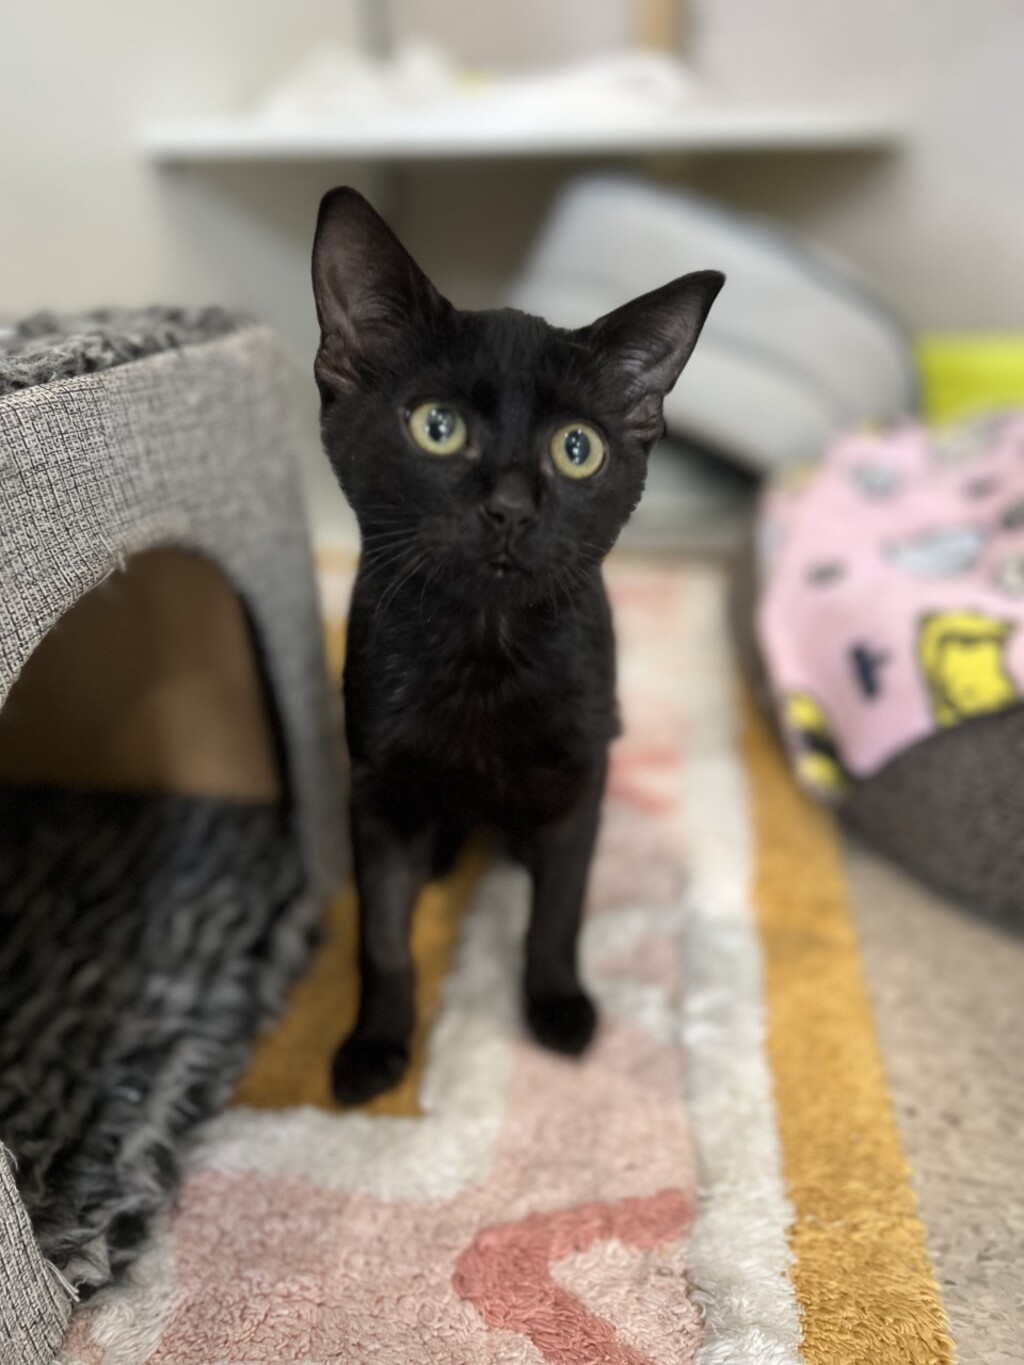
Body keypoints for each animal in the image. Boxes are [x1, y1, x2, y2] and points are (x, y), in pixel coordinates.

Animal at [312, 186, 723, 1104]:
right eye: (437, 426)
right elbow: (382, 935)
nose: (509, 506)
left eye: (578, 450)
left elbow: (558, 912)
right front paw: (373, 1044)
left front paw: (558, 1006)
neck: (484, 652)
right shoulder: (374, 786)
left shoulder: (579, 778)